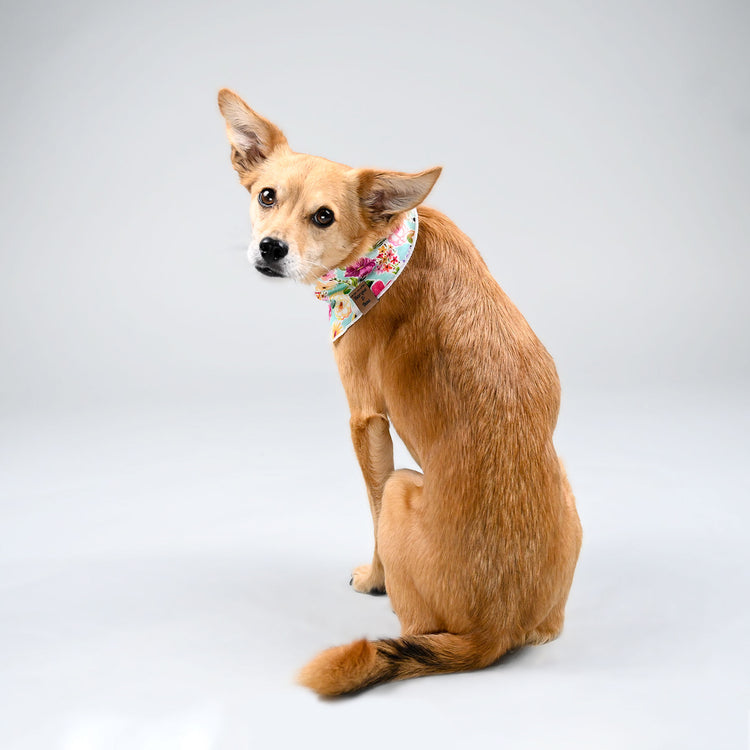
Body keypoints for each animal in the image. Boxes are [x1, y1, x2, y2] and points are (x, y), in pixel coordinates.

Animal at [220, 89, 584, 700]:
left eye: (323, 216)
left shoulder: (366, 421)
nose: (270, 248)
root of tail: (493, 631)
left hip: (401, 490)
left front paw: (374, 579)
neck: (387, 244)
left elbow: (368, 514)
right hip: (569, 498)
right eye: (267, 196)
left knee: (412, 621)